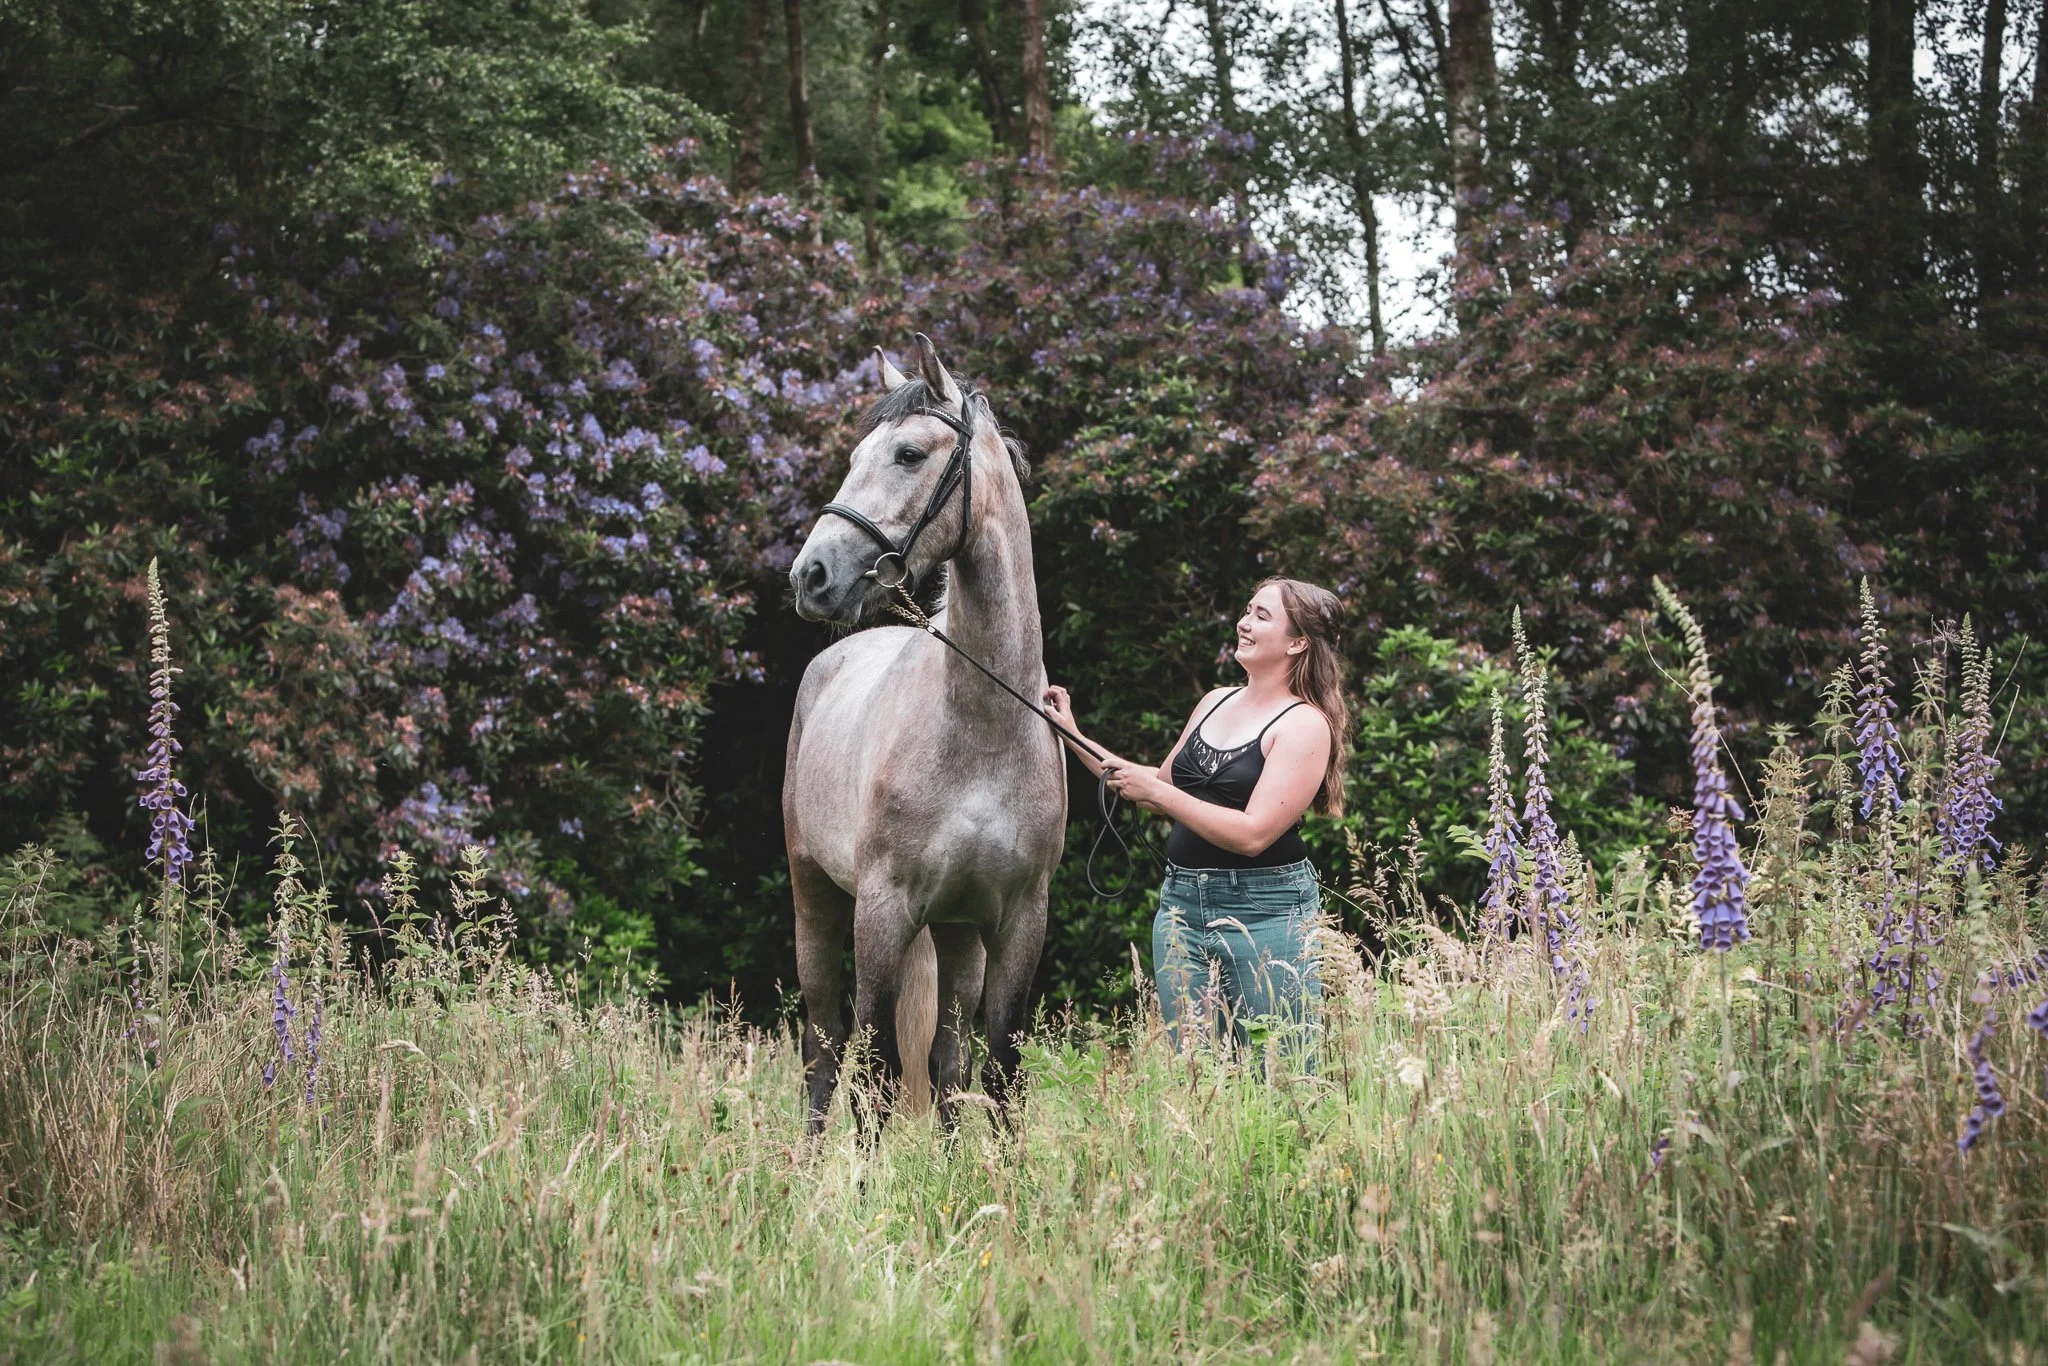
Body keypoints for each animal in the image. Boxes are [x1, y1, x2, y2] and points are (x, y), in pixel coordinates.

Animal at [784, 335, 1065, 1134]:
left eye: (909, 454)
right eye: (854, 455)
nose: (811, 576)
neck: (981, 729)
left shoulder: (1018, 922)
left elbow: (995, 1074)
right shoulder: (884, 911)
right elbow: (876, 1074)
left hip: (957, 933)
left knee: (945, 1062)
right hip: (816, 898)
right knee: (823, 1049)